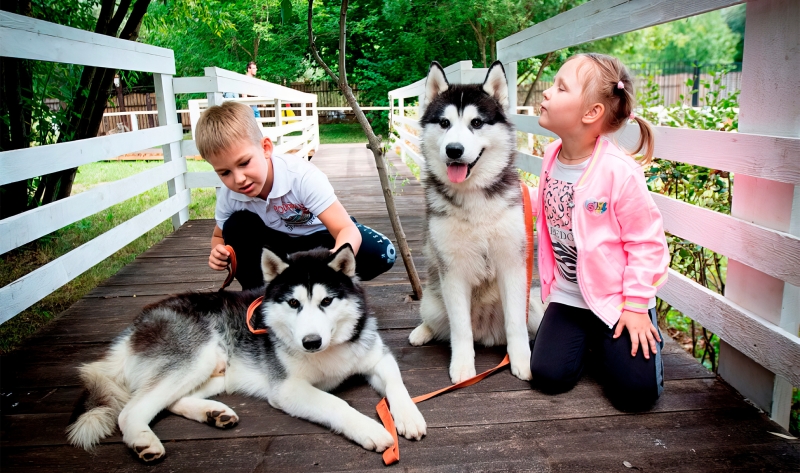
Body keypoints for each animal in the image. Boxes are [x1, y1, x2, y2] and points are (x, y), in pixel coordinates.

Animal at [67, 245, 424, 460]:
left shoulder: (377, 356)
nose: (311, 342)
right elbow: (336, 404)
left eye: (326, 301)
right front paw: (371, 429)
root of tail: (137, 324)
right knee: (131, 410)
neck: (331, 349)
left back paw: (213, 413)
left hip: (218, 372)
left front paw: (408, 416)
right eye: (293, 303)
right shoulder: (287, 388)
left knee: (167, 401)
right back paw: (144, 440)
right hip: (197, 356)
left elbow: (397, 385)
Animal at [410, 61, 548, 384]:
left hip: (534, 307)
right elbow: (460, 329)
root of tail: (485, 332)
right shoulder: (453, 270)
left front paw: (522, 361)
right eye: (444, 123)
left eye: (476, 122)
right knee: (438, 321)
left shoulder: (512, 264)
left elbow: (516, 324)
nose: (454, 150)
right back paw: (422, 331)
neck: (474, 199)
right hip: (433, 300)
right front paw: (463, 367)